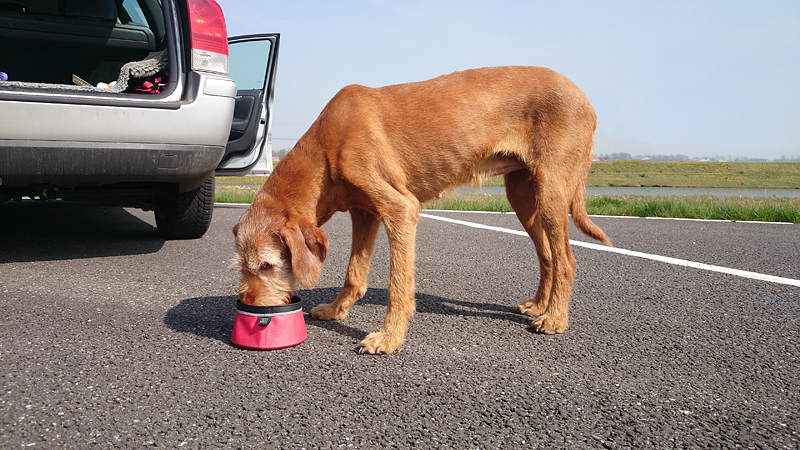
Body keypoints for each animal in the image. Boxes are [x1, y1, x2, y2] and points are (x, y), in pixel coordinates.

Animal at [233, 66, 612, 354]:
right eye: (242, 267)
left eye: (267, 265)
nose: (250, 304)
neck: (324, 148)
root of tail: (587, 101)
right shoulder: (365, 214)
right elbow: (355, 273)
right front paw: (335, 311)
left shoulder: (400, 209)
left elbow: (398, 283)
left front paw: (389, 337)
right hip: (522, 196)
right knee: (547, 254)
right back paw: (539, 305)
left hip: (552, 191)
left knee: (566, 259)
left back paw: (555, 317)